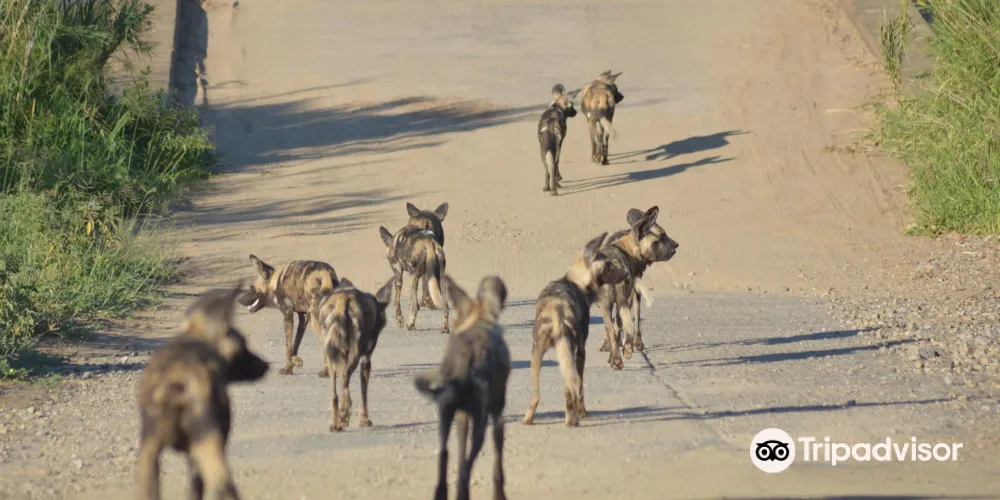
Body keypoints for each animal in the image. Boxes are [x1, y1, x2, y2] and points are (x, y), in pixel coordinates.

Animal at [135, 284, 269, 500]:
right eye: (243, 347)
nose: (266, 365)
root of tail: (179, 383)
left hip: (149, 457)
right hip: (208, 447)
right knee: (224, 484)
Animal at [308, 277, 394, 432]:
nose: (382, 324)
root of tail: (344, 299)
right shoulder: (366, 359)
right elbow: (363, 393)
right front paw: (364, 420)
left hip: (331, 356)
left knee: (335, 394)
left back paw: (336, 423)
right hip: (355, 354)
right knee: (345, 378)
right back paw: (343, 413)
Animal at [414, 274, 511, 500]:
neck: (479, 319)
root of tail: (466, 358)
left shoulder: (461, 417)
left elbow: (458, 457)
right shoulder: (497, 418)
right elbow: (497, 469)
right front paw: (499, 494)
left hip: (445, 416)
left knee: (445, 456)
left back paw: (443, 493)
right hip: (481, 426)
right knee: (467, 467)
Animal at [521, 232, 629, 427]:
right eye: (608, 264)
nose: (626, 273)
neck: (576, 281)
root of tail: (556, 309)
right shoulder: (581, 350)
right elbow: (580, 389)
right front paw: (583, 412)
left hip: (536, 355)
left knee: (536, 395)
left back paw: (528, 419)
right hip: (568, 353)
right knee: (570, 388)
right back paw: (572, 420)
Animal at [597, 206, 679, 369]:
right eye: (661, 237)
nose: (676, 246)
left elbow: (615, 329)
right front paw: (628, 347)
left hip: (608, 304)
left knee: (612, 329)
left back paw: (615, 359)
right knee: (623, 325)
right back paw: (623, 353)